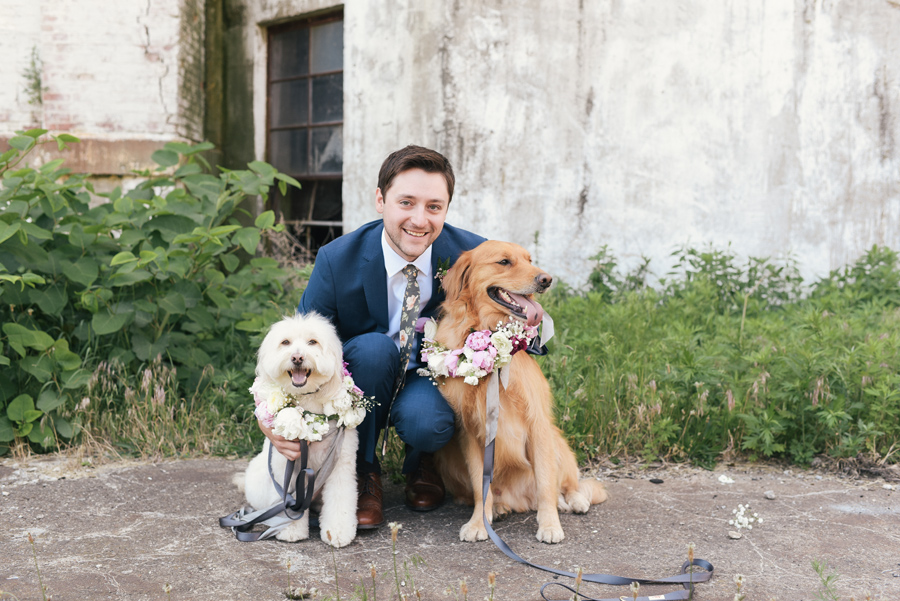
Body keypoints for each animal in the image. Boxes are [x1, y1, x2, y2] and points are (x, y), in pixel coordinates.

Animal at [239, 312, 358, 548]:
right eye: (285, 342)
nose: (297, 358)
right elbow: (289, 497)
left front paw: (338, 531)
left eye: (313, 342)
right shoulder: (285, 461)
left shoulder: (341, 464)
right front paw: (290, 529)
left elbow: (340, 498)